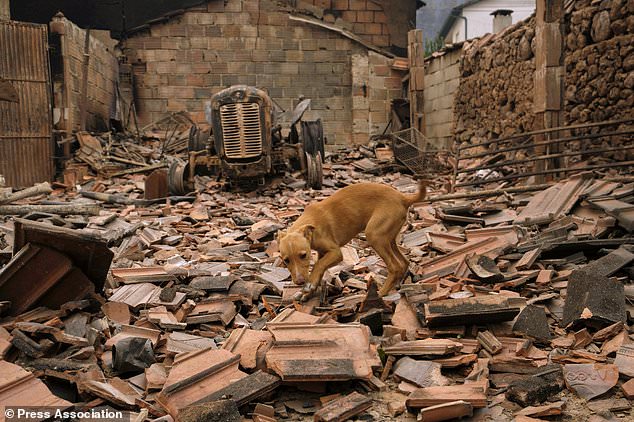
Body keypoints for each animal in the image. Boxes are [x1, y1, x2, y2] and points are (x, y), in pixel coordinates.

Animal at [276, 181, 424, 300]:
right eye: (286, 260)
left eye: (303, 255)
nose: (300, 282)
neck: (310, 223)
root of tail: (403, 197)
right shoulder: (323, 253)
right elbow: (320, 268)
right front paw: (309, 292)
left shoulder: (335, 253)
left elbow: (318, 265)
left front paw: (309, 286)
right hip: (389, 238)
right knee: (404, 262)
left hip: (374, 235)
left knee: (395, 266)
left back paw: (381, 293)